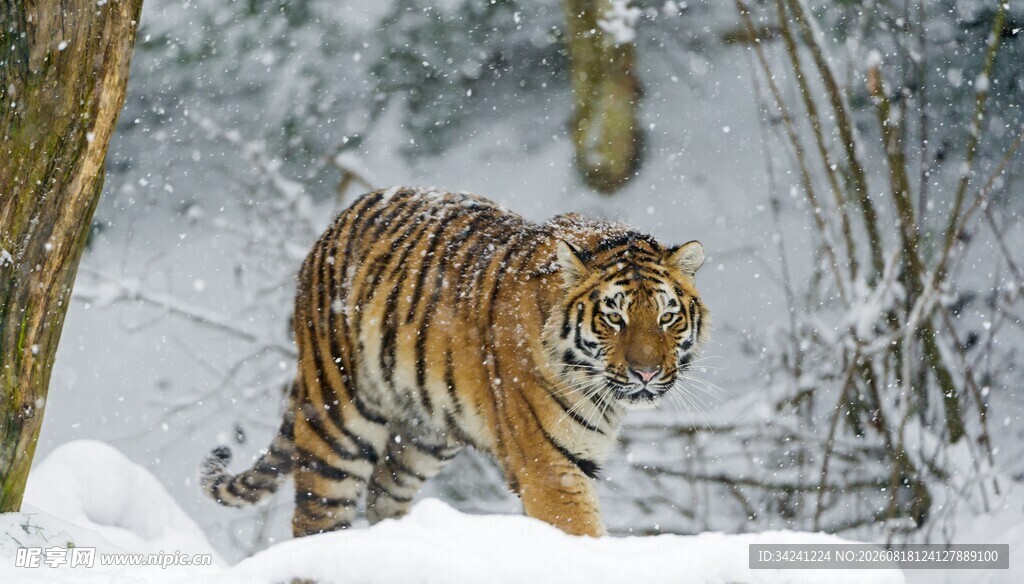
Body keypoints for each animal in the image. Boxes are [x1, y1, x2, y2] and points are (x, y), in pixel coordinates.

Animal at [201, 187, 710, 538]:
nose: (646, 372)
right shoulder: (551, 468)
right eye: (613, 317)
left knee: (382, 495)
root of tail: (331, 227)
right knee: (315, 517)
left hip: (420, 436)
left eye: (666, 317)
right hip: (338, 421)